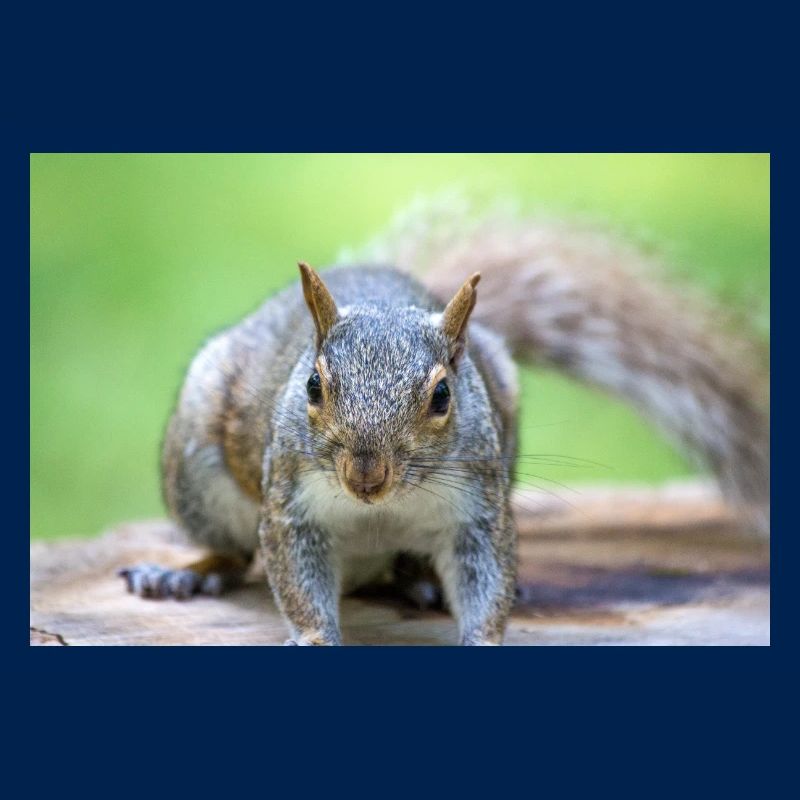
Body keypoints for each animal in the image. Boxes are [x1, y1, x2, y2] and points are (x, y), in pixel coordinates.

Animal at [118, 199, 770, 645]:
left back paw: (420, 580)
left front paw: (483, 632)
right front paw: (314, 637)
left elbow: (485, 577)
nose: (366, 476)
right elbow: (295, 578)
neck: (378, 511)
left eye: (441, 396)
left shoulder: (477, 510)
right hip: (199, 473)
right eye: (312, 386)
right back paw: (184, 575)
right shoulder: (290, 502)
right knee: (232, 552)